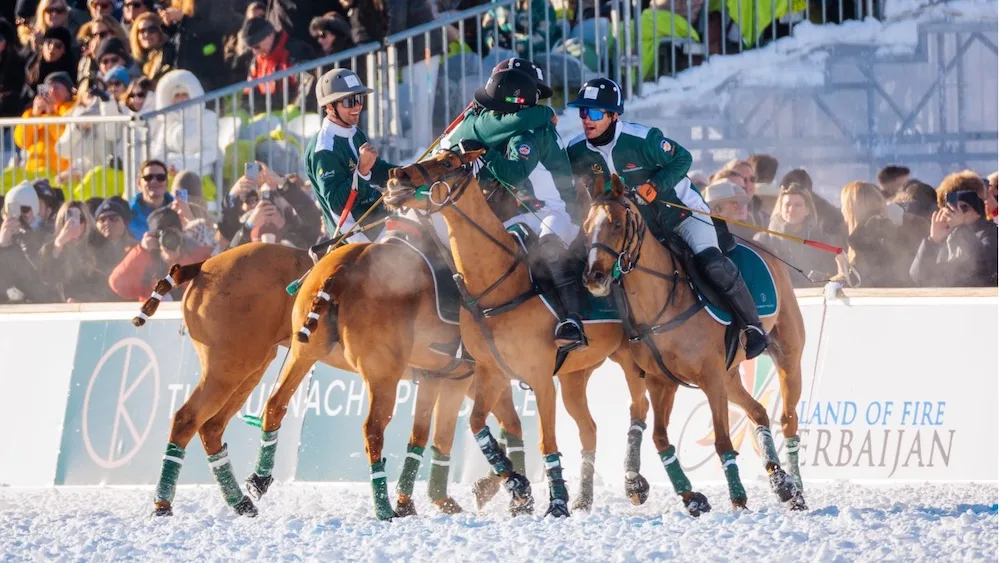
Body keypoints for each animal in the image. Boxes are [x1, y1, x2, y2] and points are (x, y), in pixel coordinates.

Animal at [382, 148, 648, 516]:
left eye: (448, 162)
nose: (397, 177)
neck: (497, 284)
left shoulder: (540, 376)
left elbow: (546, 441)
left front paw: (556, 502)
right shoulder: (492, 371)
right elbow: (478, 424)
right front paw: (515, 484)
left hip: (629, 357)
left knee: (639, 408)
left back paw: (633, 482)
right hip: (574, 376)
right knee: (589, 429)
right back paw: (584, 497)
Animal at [584, 176, 808, 516]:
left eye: (618, 223)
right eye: (586, 226)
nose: (593, 276)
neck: (661, 304)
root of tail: (764, 248)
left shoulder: (710, 377)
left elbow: (722, 440)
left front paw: (738, 499)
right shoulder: (661, 382)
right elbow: (660, 438)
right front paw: (693, 498)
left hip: (786, 356)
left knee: (788, 420)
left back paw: (796, 491)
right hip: (730, 375)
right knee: (758, 412)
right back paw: (779, 480)